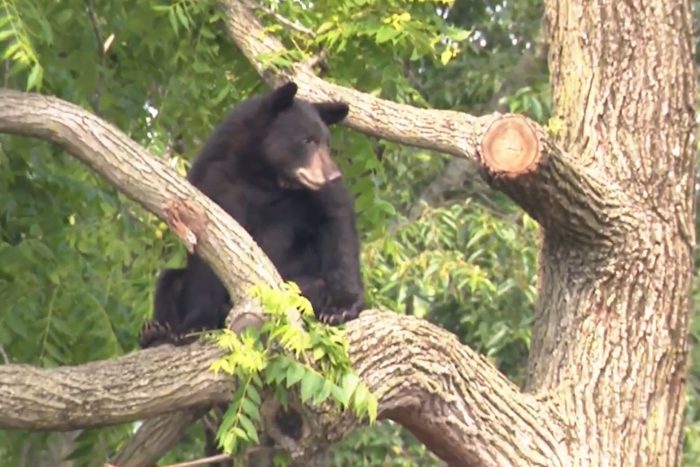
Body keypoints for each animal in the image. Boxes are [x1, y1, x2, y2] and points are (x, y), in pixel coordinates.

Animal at [139, 82, 364, 350]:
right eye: (307, 140)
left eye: (326, 143)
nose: (333, 176)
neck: (263, 177)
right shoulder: (212, 184)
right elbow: (206, 249)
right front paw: (196, 324)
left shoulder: (313, 196)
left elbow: (336, 223)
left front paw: (342, 307)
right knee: (170, 282)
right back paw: (156, 332)